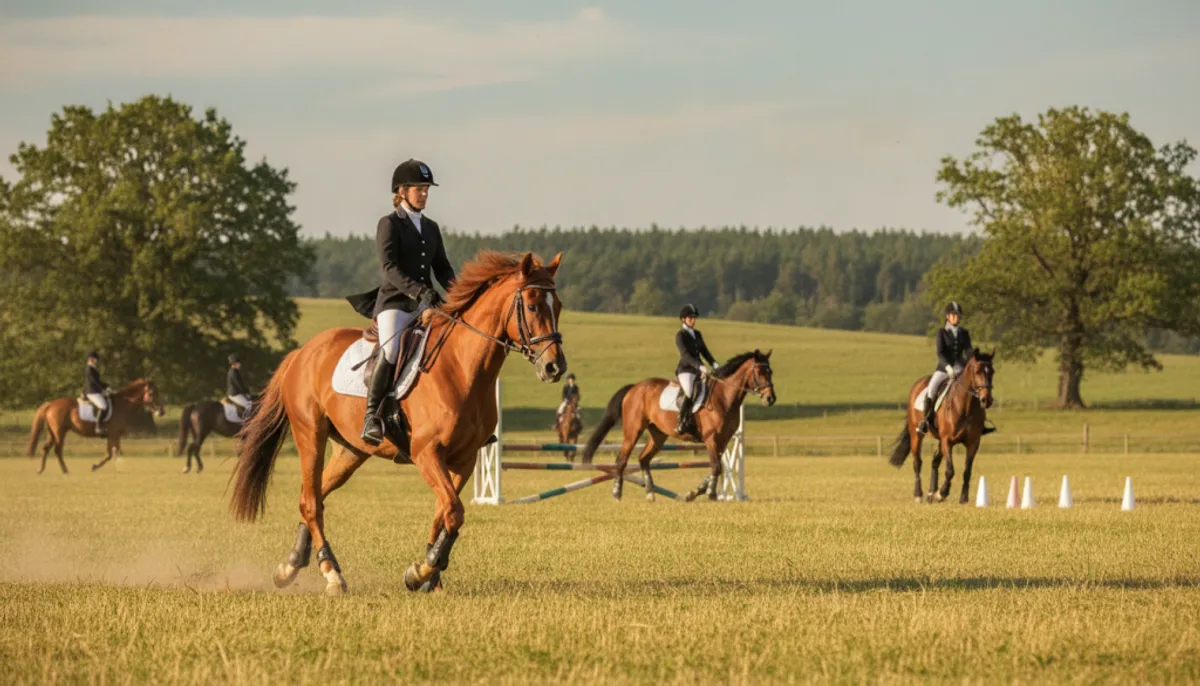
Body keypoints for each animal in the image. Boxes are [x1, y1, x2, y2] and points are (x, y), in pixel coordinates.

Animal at [26, 378, 166, 474]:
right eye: (152, 393)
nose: (161, 412)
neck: (123, 404)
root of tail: (51, 404)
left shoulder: (115, 435)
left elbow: (115, 452)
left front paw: (116, 467)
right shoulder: (113, 434)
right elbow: (110, 453)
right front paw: (96, 466)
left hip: (53, 433)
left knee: (46, 448)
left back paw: (41, 469)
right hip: (59, 433)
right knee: (57, 450)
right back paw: (64, 470)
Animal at [229, 250, 566, 595]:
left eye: (558, 306)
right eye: (532, 306)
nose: (554, 367)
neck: (461, 367)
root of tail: (301, 353)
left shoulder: (464, 458)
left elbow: (443, 513)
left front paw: (431, 575)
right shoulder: (426, 452)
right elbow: (454, 511)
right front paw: (421, 571)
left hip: (350, 451)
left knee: (313, 497)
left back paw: (290, 566)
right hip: (310, 433)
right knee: (311, 501)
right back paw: (332, 574)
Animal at [581, 350, 776, 502]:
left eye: (770, 371)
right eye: (760, 371)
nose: (770, 399)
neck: (724, 397)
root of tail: (634, 387)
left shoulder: (724, 440)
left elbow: (717, 467)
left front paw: (695, 492)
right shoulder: (711, 438)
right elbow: (717, 467)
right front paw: (711, 494)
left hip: (658, 435)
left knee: (644, 459)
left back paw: (650, 493)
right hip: (633, 430)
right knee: (621, 459)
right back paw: (617, 493)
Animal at [887, 350, 996, 503]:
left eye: (992, 371)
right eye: (977, 371)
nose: (987, 400)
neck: (965, 407)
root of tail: (918, 384)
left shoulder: (973, 443)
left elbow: (967, 471)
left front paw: (963, 498)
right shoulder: (947, 441)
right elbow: (950, 470)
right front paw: (942, 493)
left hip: (939, 440)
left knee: (934, 461)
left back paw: (931, 494)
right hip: (917, 435)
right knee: (917, 462)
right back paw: (919, 495)